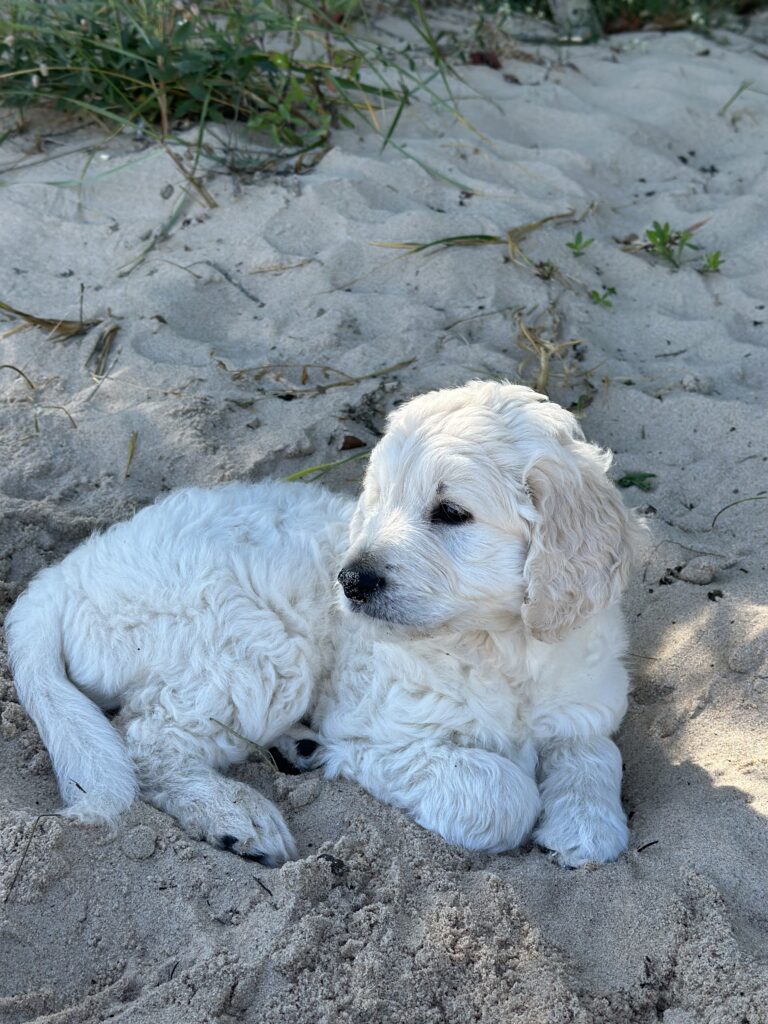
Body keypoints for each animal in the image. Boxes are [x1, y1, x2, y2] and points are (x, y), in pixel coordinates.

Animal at [5, 381, 646, 867]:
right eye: (377, 502)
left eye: (451, 512)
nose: (351, 580)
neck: (500, 645)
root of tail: (63, 573)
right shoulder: (381, 723)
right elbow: (500, 794)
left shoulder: (582, 699)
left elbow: (594, 753)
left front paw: (585, 824)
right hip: (256, 650)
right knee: (147, 743)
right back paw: (238, 813)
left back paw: (295, 748)